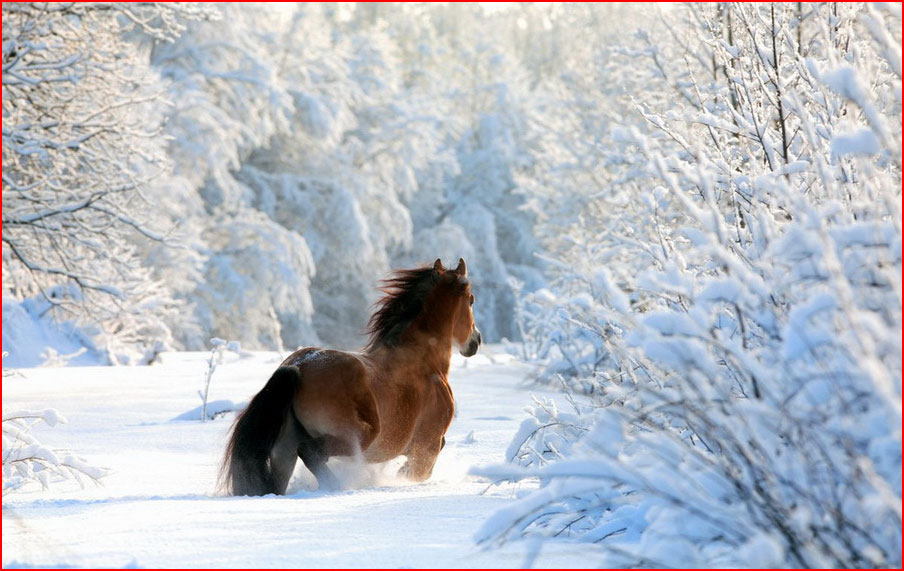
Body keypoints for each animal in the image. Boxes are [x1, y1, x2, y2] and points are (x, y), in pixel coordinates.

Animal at [221, 260, 480, 496]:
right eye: (471, 299)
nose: (476, 341)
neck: (425, 362)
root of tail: (297, 367)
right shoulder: (427, 446)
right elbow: (418, 473)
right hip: (357, 437)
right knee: (310, 452)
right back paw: (336, 486)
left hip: (284, 450)